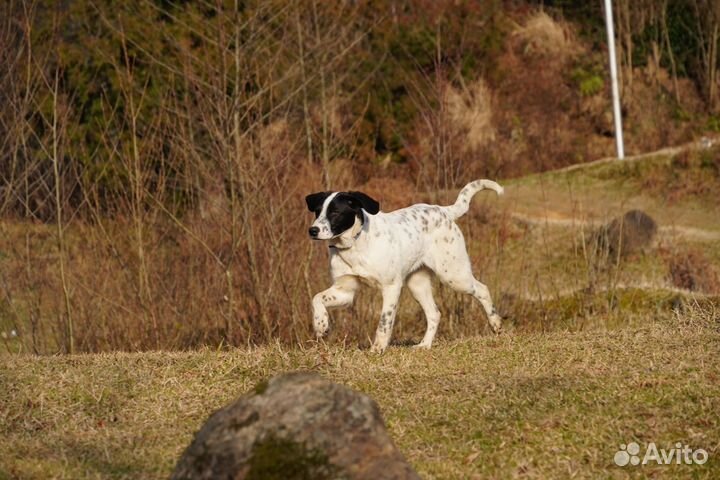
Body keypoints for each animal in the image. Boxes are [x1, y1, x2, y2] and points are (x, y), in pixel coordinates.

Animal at [306, 180, 504, 352]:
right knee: (434, 313)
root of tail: (443, 210)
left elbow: (384, 323)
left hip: (453, 275)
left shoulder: (391, 287)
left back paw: (496, 325)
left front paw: (377, 349)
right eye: (317, 212)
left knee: (482, 289)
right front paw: (320, 324)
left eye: (335, 212)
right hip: (418, 284)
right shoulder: (345, 290)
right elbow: (317, 297)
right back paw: (424, 345)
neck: (354, 244)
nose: (312, 230)